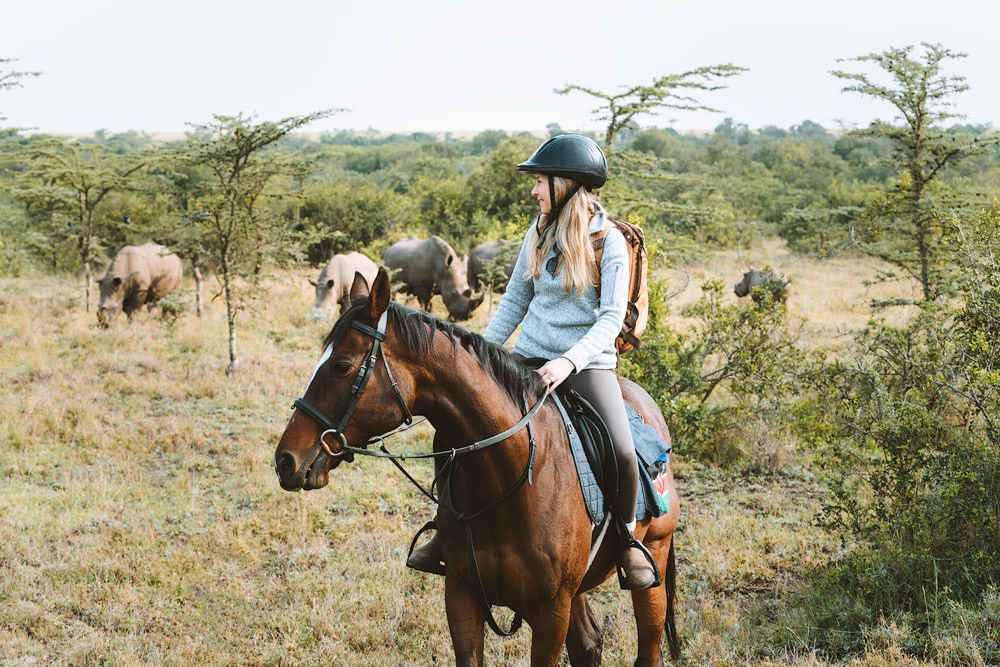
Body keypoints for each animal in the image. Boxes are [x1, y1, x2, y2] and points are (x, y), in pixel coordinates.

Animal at [274, 268, 680, 664]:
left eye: (342, 366)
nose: (284, 460)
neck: (511, 480)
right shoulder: (462, 597)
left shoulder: (550, 612)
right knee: (588, 644)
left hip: (652, 561)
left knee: (648, 647)